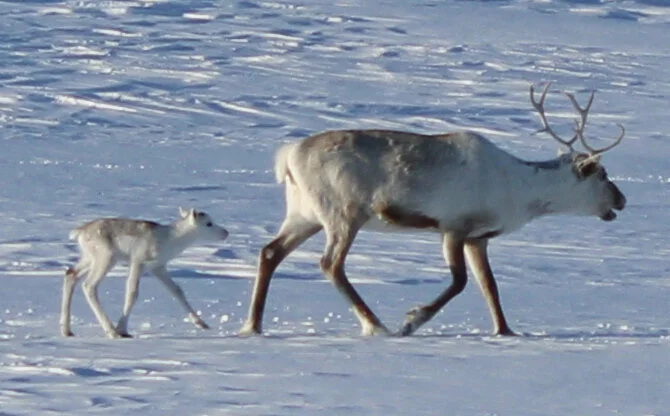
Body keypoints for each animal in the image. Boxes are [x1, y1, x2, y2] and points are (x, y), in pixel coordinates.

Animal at [61, 208, 229, 339]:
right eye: (208, 223)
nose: (226, 233)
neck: (171, 239)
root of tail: (79, 232)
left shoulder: (158, 267)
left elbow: (177, 290)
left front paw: (201, 323)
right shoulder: (138, 263)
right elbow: (132, 293)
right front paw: (123, 330)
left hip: (89, 259)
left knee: (71, 274)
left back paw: (67, 330)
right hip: (106, 259)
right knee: (89, 285)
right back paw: (112, 331)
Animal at [239, 83, 626, 337]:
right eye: (602, 174)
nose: (622, 200)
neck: (518, 192)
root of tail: (288, 156)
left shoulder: (479, 238)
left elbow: (490, 285)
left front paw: (505, 331)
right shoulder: (453, 226)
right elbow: (459, 282)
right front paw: (412, 319)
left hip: (303, 214)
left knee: (270, 252)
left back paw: (252, 326)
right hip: (343, 213)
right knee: (330, 264)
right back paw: (376, 325)